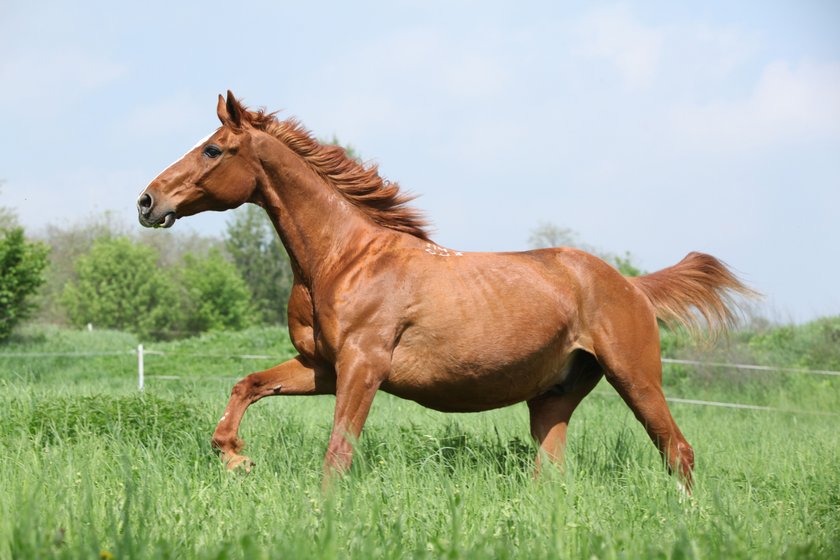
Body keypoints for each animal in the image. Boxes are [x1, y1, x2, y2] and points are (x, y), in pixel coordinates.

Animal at [137, 91, 754, 491]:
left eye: (213, 150)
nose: (147, 201)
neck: (344, 259)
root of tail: (630, 285)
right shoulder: (324, 367)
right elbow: (246, 387)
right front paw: (238, 461)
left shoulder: (363, 366)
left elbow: (338, 452)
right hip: (554, 396)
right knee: (550, 473)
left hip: (636, 378)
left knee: (677, 452)